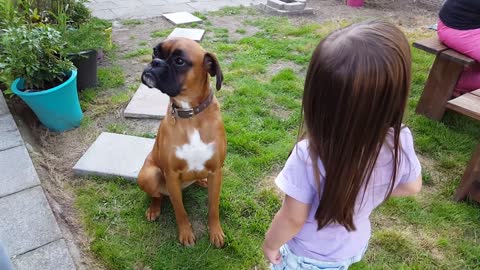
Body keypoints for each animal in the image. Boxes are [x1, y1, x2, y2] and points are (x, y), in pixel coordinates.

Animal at [137, 37, 227, 248]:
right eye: (155, 52)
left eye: (179, 61)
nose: (154, 63)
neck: (190, 114)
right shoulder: (171, 175)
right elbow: (180, 211)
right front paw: (186, 234)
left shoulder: (216, 171)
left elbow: (213, 207)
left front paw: (216, 232)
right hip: (149, 175)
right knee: (157, 196)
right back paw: (154, 209)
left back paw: (201, 180)